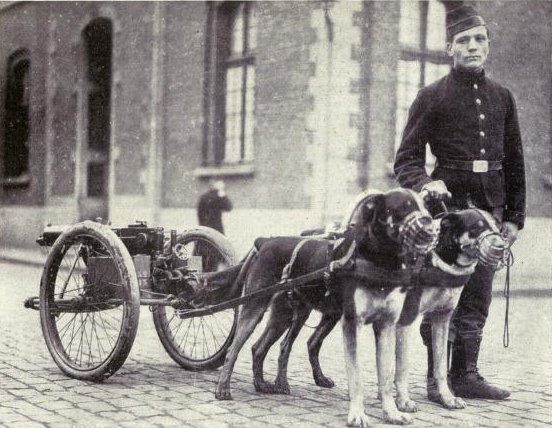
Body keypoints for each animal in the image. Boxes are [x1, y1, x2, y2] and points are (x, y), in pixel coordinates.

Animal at [213, 189, 438, 426]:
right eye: (403, 207)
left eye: (425, 206)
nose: (431, 227)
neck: (379, 261)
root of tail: (265, 242)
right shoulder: (352, 325)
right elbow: (356, 376)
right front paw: (357, 415)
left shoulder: (386, 326)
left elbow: (385, 377)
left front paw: (392, 413)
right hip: (254, 308)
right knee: (234, 349)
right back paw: (223, 388)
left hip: (288, 314)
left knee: (260, 347)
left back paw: (263, 384)